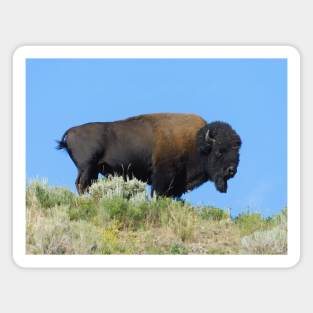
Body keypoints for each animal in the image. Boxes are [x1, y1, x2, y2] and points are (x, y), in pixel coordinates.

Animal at [56, 112, 241, 197]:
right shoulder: (162, 175)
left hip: (92, 170)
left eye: (237, 151)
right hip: (87, 167)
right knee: (81, 184)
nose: (231, 170)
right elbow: (157, 193)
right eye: (219, 151)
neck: (196, 142)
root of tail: (71, 132)